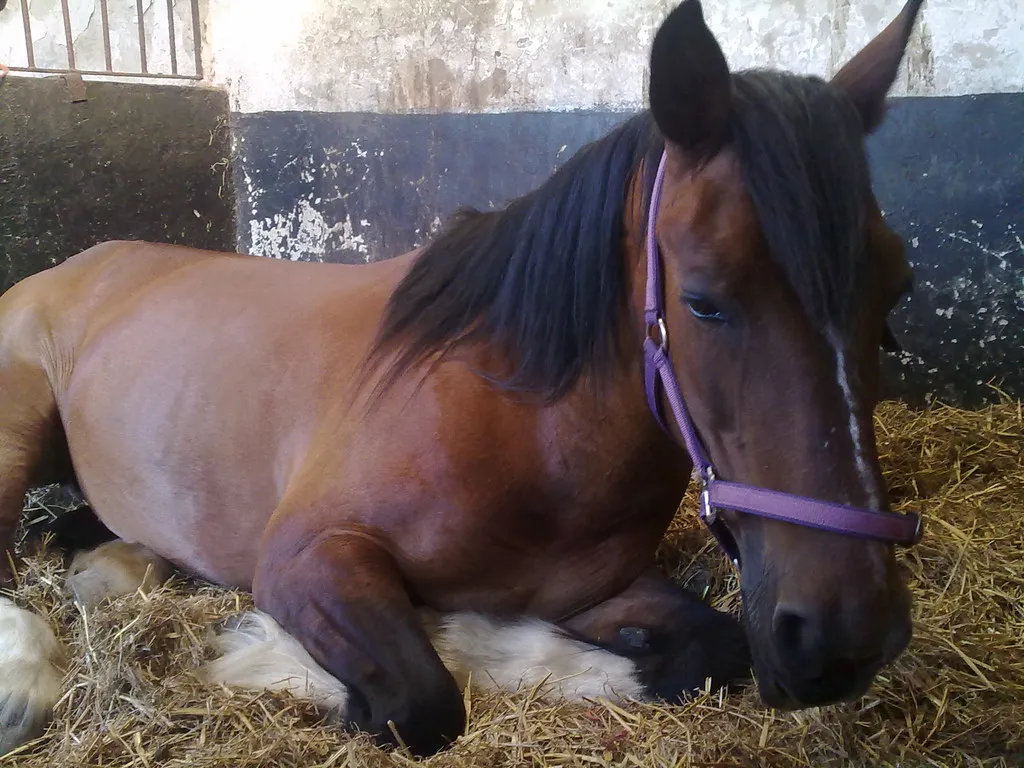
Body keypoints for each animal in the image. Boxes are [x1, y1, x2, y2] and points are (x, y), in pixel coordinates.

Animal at [0, 0, 926, 757]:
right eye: (703, 300)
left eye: (895, 292)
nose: (844, 636)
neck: (523, 429)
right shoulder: (308, 558)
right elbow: (422, 699)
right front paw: (283, 658)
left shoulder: (603, 590)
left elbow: (709, 649)